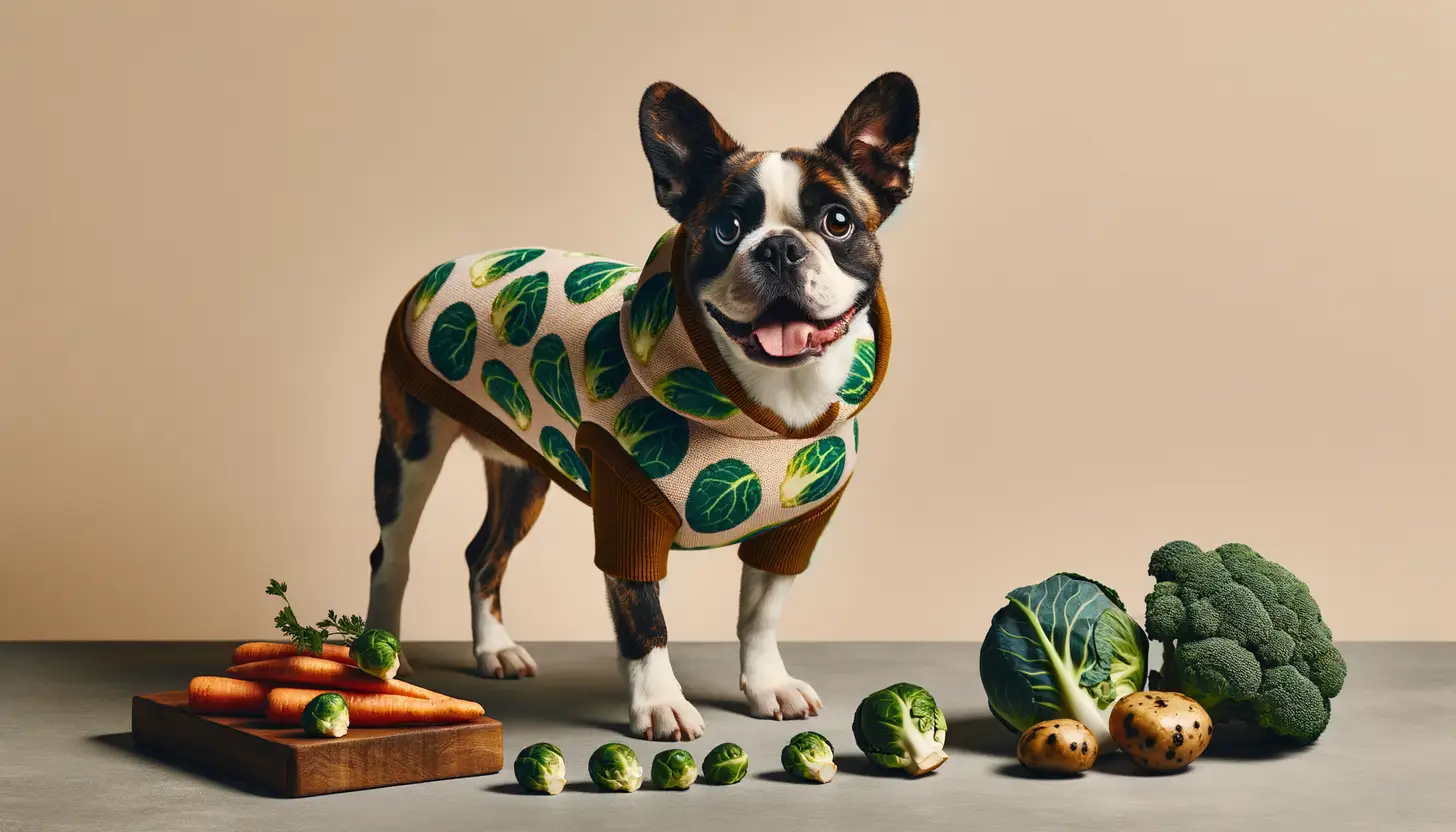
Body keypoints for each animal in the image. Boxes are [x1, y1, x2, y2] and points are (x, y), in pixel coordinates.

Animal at [369, 75, 926, 740]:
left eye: (838, 222)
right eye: (726, 228)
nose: (780, 248)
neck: (766, 410)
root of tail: (446, 266)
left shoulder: (795, 529)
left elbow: (761, 615)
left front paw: (768, 684)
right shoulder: (628, 511)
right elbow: (646, 618)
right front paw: (659, 703)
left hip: (524, 471)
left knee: (485, 554)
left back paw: (493, 650)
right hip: (410, 451)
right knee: (391, 554)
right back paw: (381, 660)